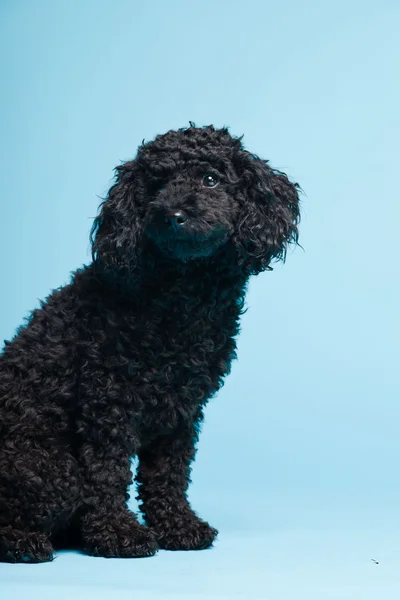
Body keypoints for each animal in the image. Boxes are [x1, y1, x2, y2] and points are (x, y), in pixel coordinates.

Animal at [0, 123, 300, 564]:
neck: (181, 297)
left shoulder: (181, 409)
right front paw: (117, 533)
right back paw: (24, 541)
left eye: (210, 179)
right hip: (50, 470)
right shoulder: (107, 403)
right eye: (155, 185)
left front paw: (177, 526)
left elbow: (168, 473)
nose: (173, 216)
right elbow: (107, 473)